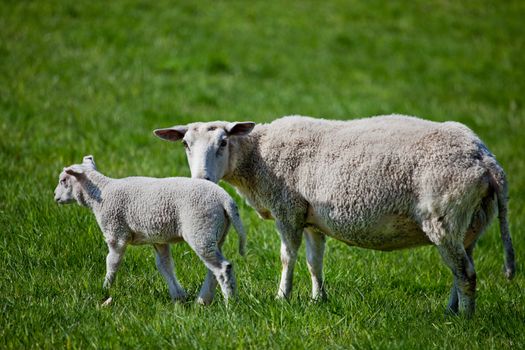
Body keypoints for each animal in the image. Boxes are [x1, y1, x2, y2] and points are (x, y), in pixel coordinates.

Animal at [54, 154, 247, 304]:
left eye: (63, 180)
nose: (55, 197)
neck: (101, 193)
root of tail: (225, 199)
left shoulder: (116, 232)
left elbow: (112, 262)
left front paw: (105, 289)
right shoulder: (158, 240)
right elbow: (165, 266)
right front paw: (178, 296)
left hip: (200, 229)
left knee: (223, 268)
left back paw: (230, 303)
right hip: (215, 233)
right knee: (212, 269)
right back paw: (203, 301)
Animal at [154, 115, 512, 318]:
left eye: (224, 141)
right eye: (185, 144)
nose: (201, 180)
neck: (258, 157)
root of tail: (485, 159)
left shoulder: (288, 207)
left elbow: (287, 256)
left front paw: (282, 297)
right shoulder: (312, 216)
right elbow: (315, 261)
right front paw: (318, 299)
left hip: (444, 216)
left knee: (466, 274)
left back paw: (465, 321)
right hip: (470, 223)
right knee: (461, 268)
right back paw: (451, 310)